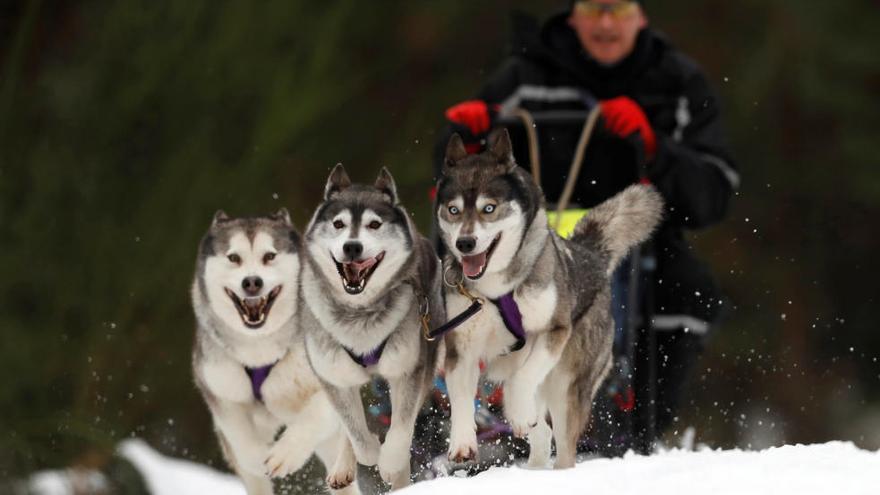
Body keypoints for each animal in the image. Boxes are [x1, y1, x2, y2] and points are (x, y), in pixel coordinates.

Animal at [191, 210, 360, 495]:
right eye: (233, 258)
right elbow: (242, 442)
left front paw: (285, 454)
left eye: (269, 256)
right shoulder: (223, 394)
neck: (260, 348)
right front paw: (259, 458)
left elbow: (315, 414)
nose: (251, 282)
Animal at [302, 166, 444, 488]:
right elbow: (356, 433)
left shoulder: (408, 369)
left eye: (374, 224)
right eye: (338, 224)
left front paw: (390, 463)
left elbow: (402, 426)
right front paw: (369, 453)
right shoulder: (333, 376)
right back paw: (343, 465)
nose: (352, 246)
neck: (360, 314)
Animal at [436, 131, 664, 468]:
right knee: (541, 430)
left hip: (566, 384)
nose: (465, 243)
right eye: (453, 210)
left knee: (561, 440)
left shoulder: (554, 331)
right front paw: (463, 441)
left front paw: (519, 414)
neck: (496, 290)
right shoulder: (461, 347)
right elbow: (462, 398)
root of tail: (589, 256)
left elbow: (521, 381)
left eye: (489, 208)